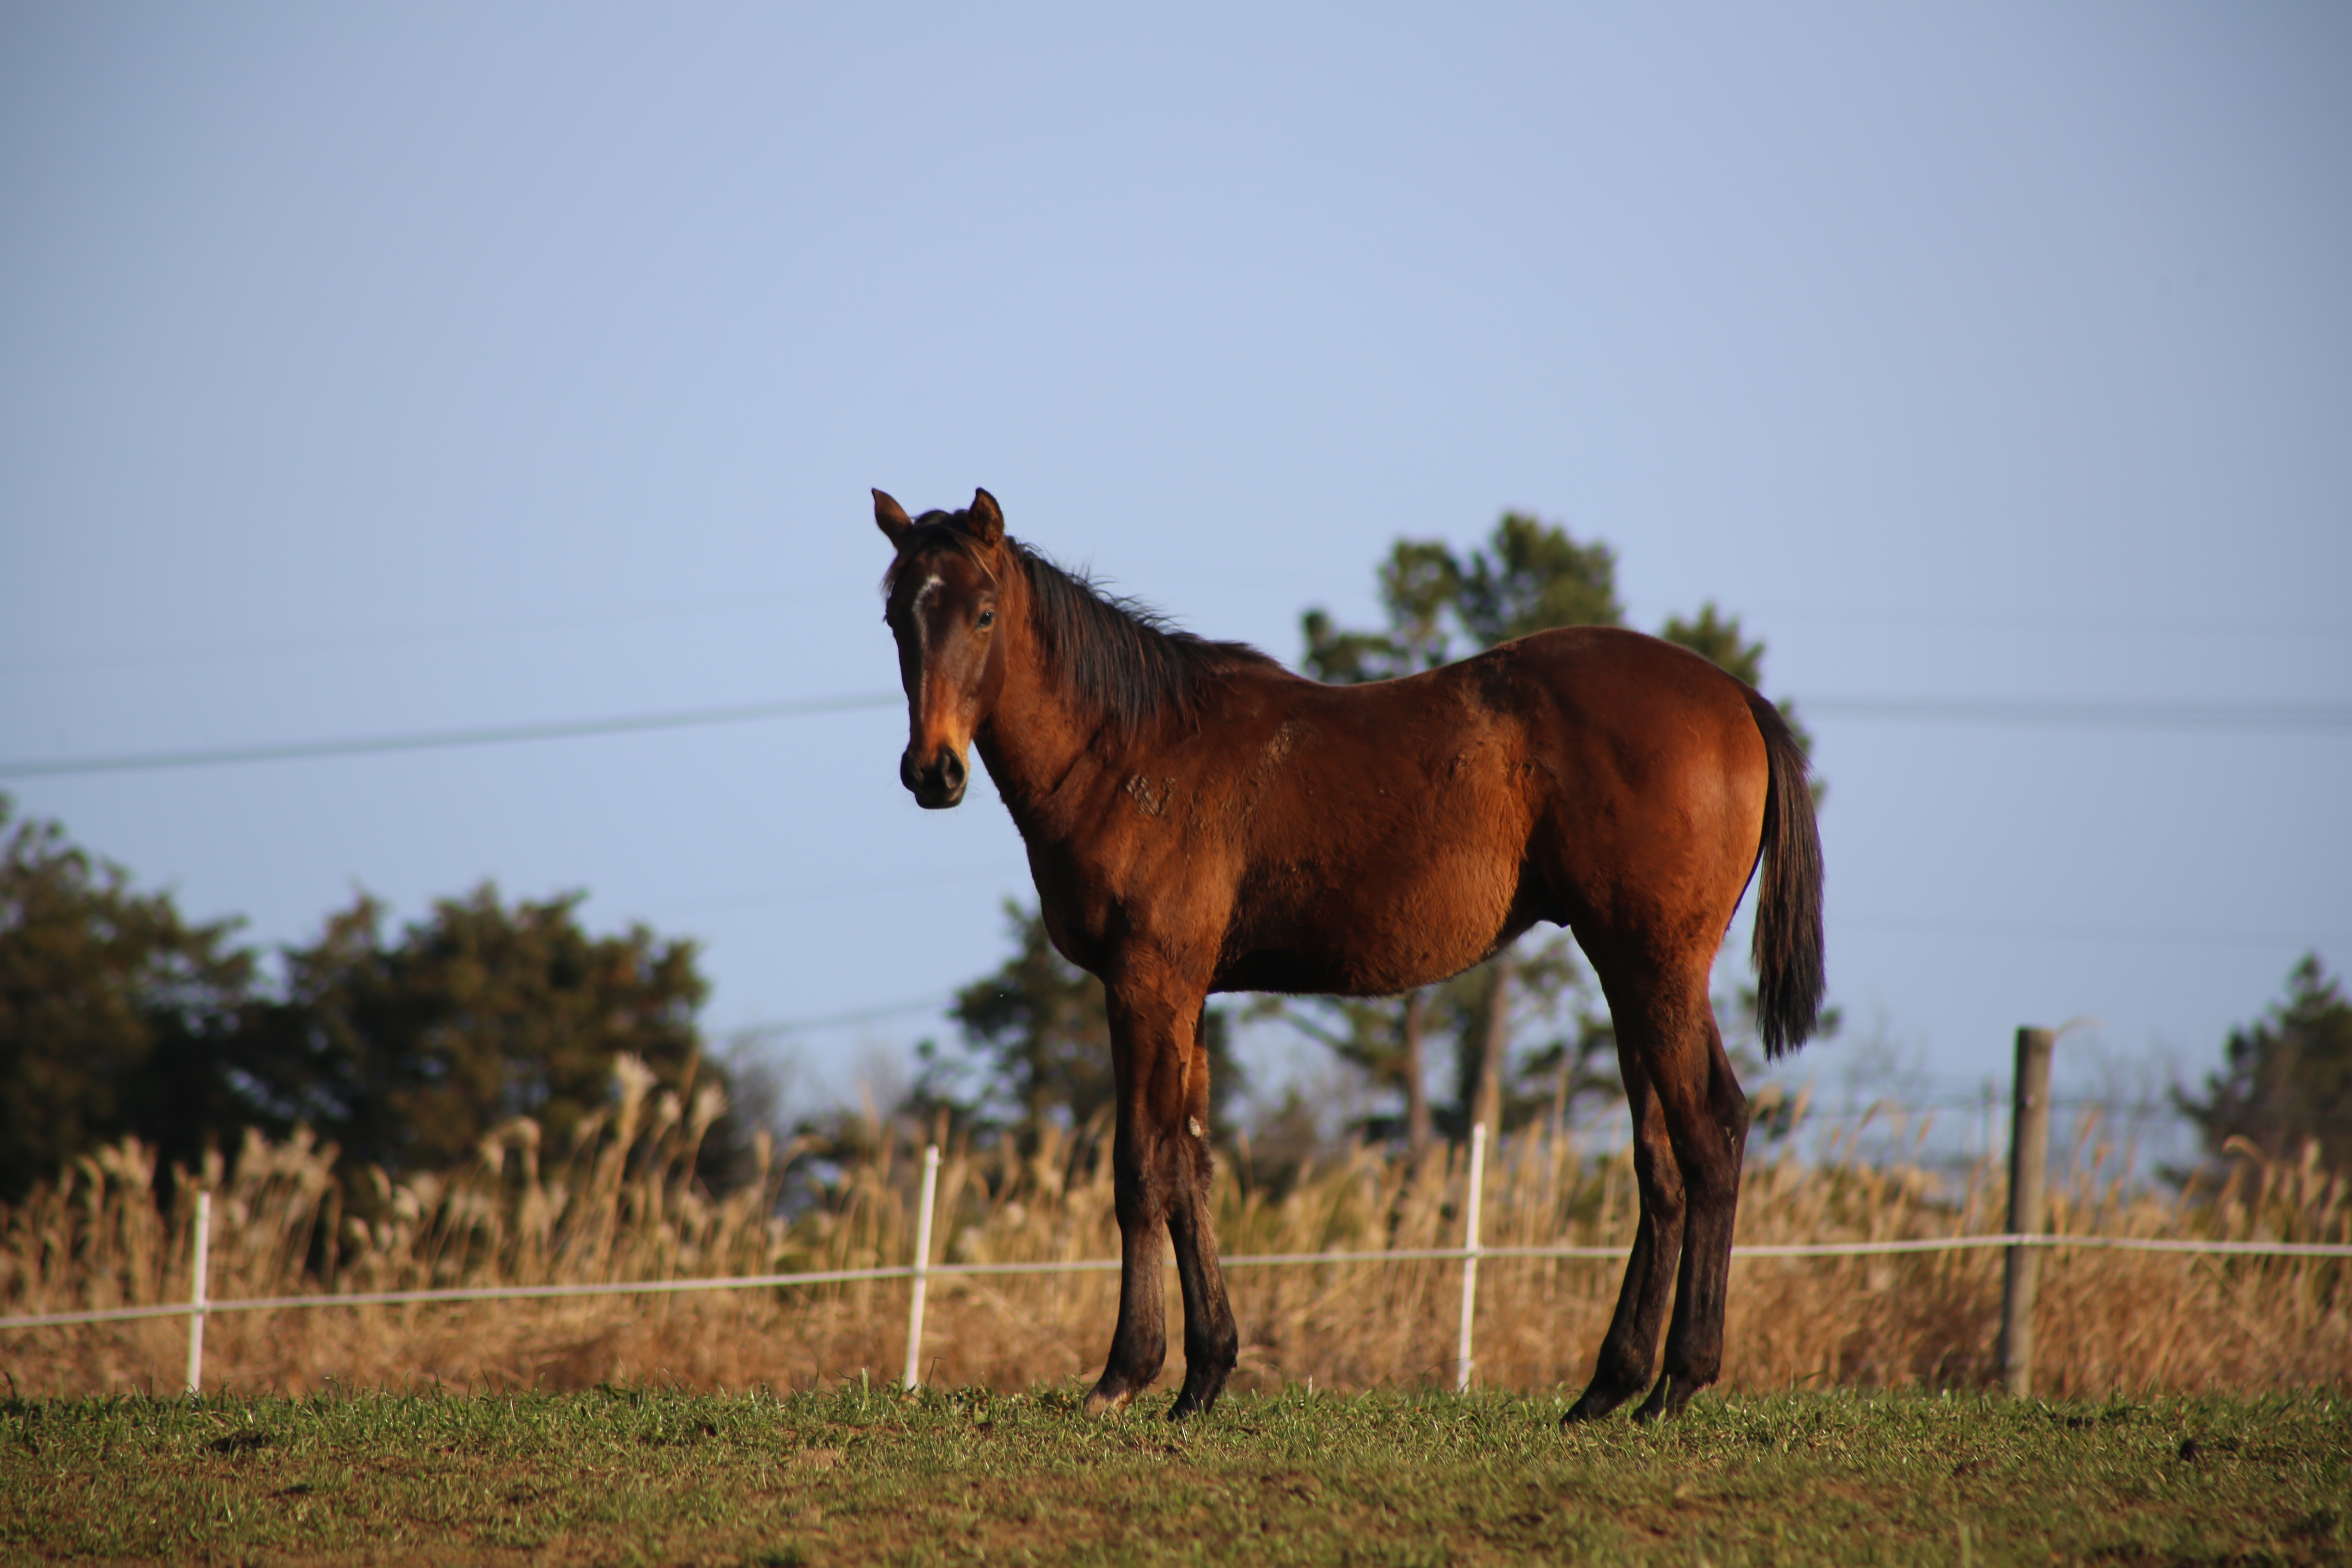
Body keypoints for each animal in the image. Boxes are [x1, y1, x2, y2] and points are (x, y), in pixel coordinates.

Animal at [875, 486, 1825, 1420]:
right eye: (895, 616)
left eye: (985, 613)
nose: (933, 773)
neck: (1132, 751)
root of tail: (1736, 697)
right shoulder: (1188, 994)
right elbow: (1192, 1169)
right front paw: (1204, 1374)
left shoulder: (1146, 984)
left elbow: (1141, 1169)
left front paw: (1125, 1373)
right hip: (1629, 974)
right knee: (1659, 1163)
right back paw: (1609, 1386)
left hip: (1659, 970)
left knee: (1712, 1133)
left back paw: (1678, 1381)